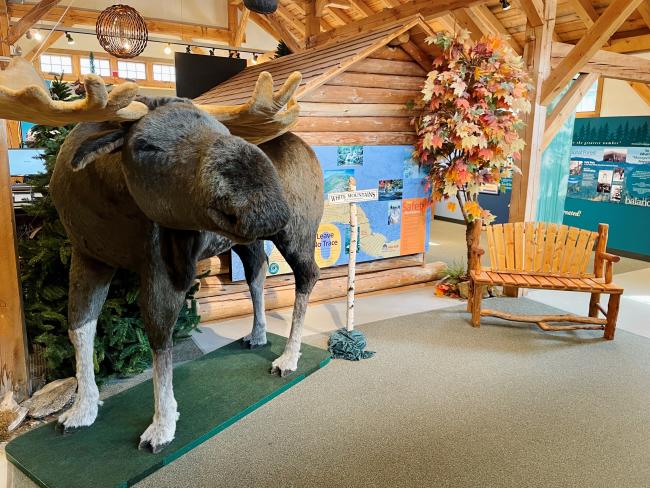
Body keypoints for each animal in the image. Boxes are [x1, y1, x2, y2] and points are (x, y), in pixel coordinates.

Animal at [0, 59, 324, 452]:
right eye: (146, 145)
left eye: (220, 128)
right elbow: (79, 327)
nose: (265, 204)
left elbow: (158, 336)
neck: (107, 206)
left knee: (308, 275)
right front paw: (83, 409)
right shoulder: (88, 256)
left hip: (298, 233)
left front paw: (162, 424)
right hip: (247, 241)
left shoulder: (158, 263)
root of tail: (311, 151)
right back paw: (258, 334)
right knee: (257, 273)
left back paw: (288, 357)